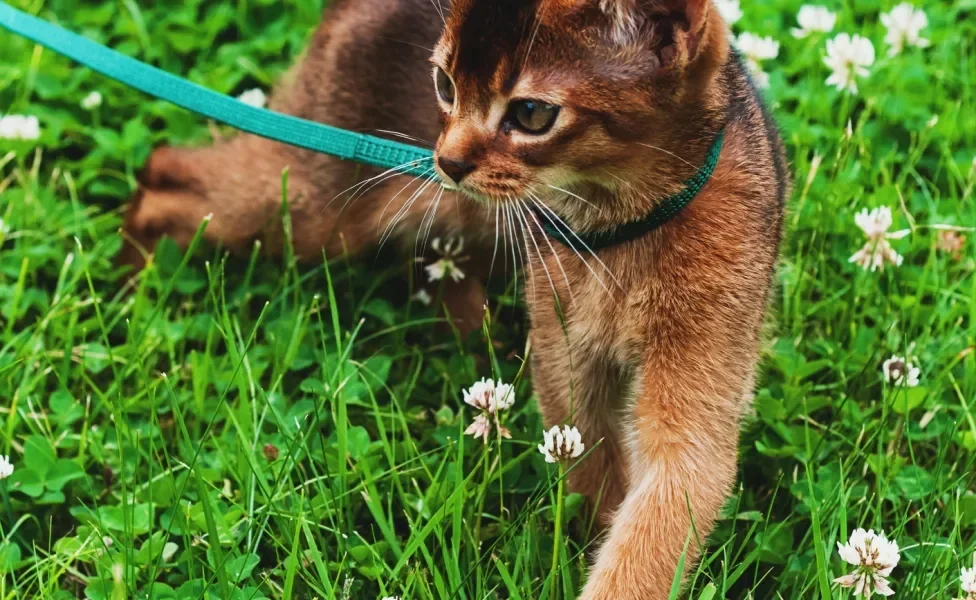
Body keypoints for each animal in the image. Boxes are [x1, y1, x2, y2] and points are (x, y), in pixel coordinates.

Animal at [122, 0, 788, 596]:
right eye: (444, 84)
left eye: (532, 113)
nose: (448, 159)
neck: (620, 230)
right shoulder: (566, 366)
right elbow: (599, 480)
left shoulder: (697, 392)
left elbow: (648, 520)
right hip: (314, 205)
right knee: (169, 169)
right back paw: (136, 280)